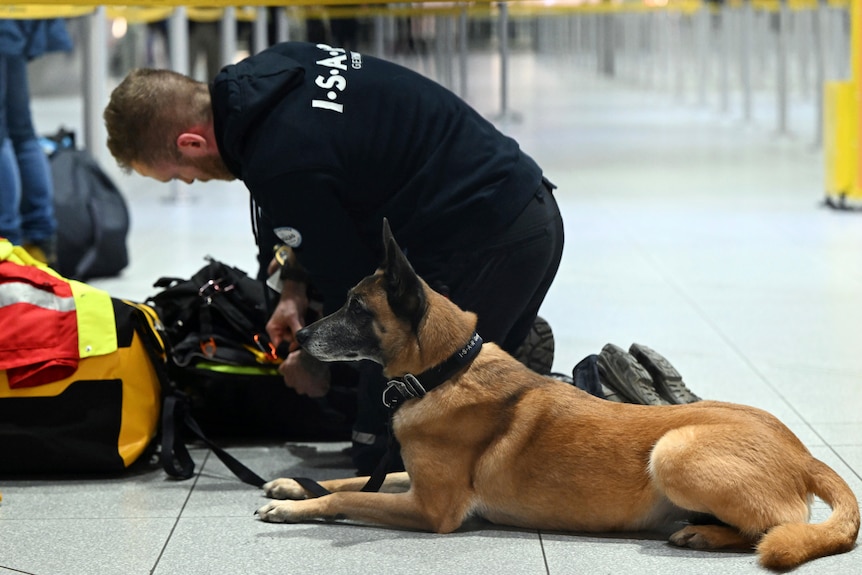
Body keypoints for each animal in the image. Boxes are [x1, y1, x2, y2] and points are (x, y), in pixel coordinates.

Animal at [256, 219, 856, 572]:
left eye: (357, 308)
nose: (297, 338)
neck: (445, 369)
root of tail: (803, 453)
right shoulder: (415, 481)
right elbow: (352, 481)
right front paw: (292, 485)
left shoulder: (431, 510)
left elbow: (348, 498)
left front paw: (294, 508)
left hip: (674, 451)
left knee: (781, 526)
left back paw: (706, 536)